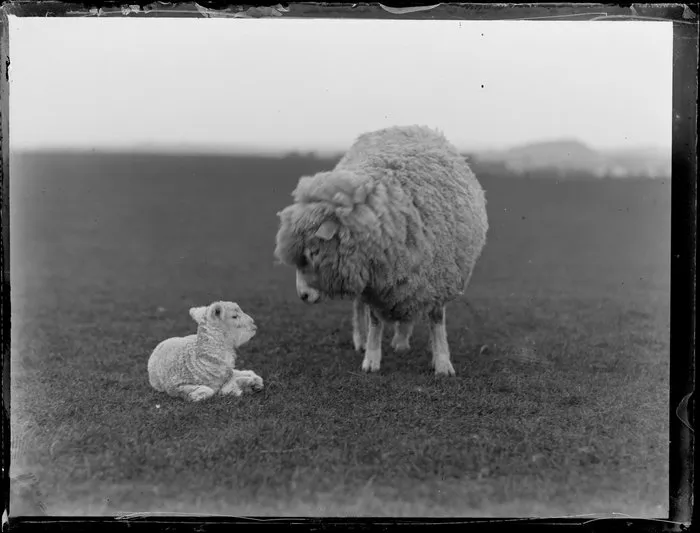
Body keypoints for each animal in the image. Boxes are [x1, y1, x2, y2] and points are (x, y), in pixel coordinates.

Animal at [274, 125, 489, 376]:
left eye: (313, 252)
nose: (303, 296)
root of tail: (403, 127)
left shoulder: (437, 278)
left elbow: (437, 322)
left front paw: (443, 363)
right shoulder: (374, 284)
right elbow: (375, 320)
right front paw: (371, 359)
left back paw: (401, 340)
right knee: (359, 308)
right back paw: (361, 340)